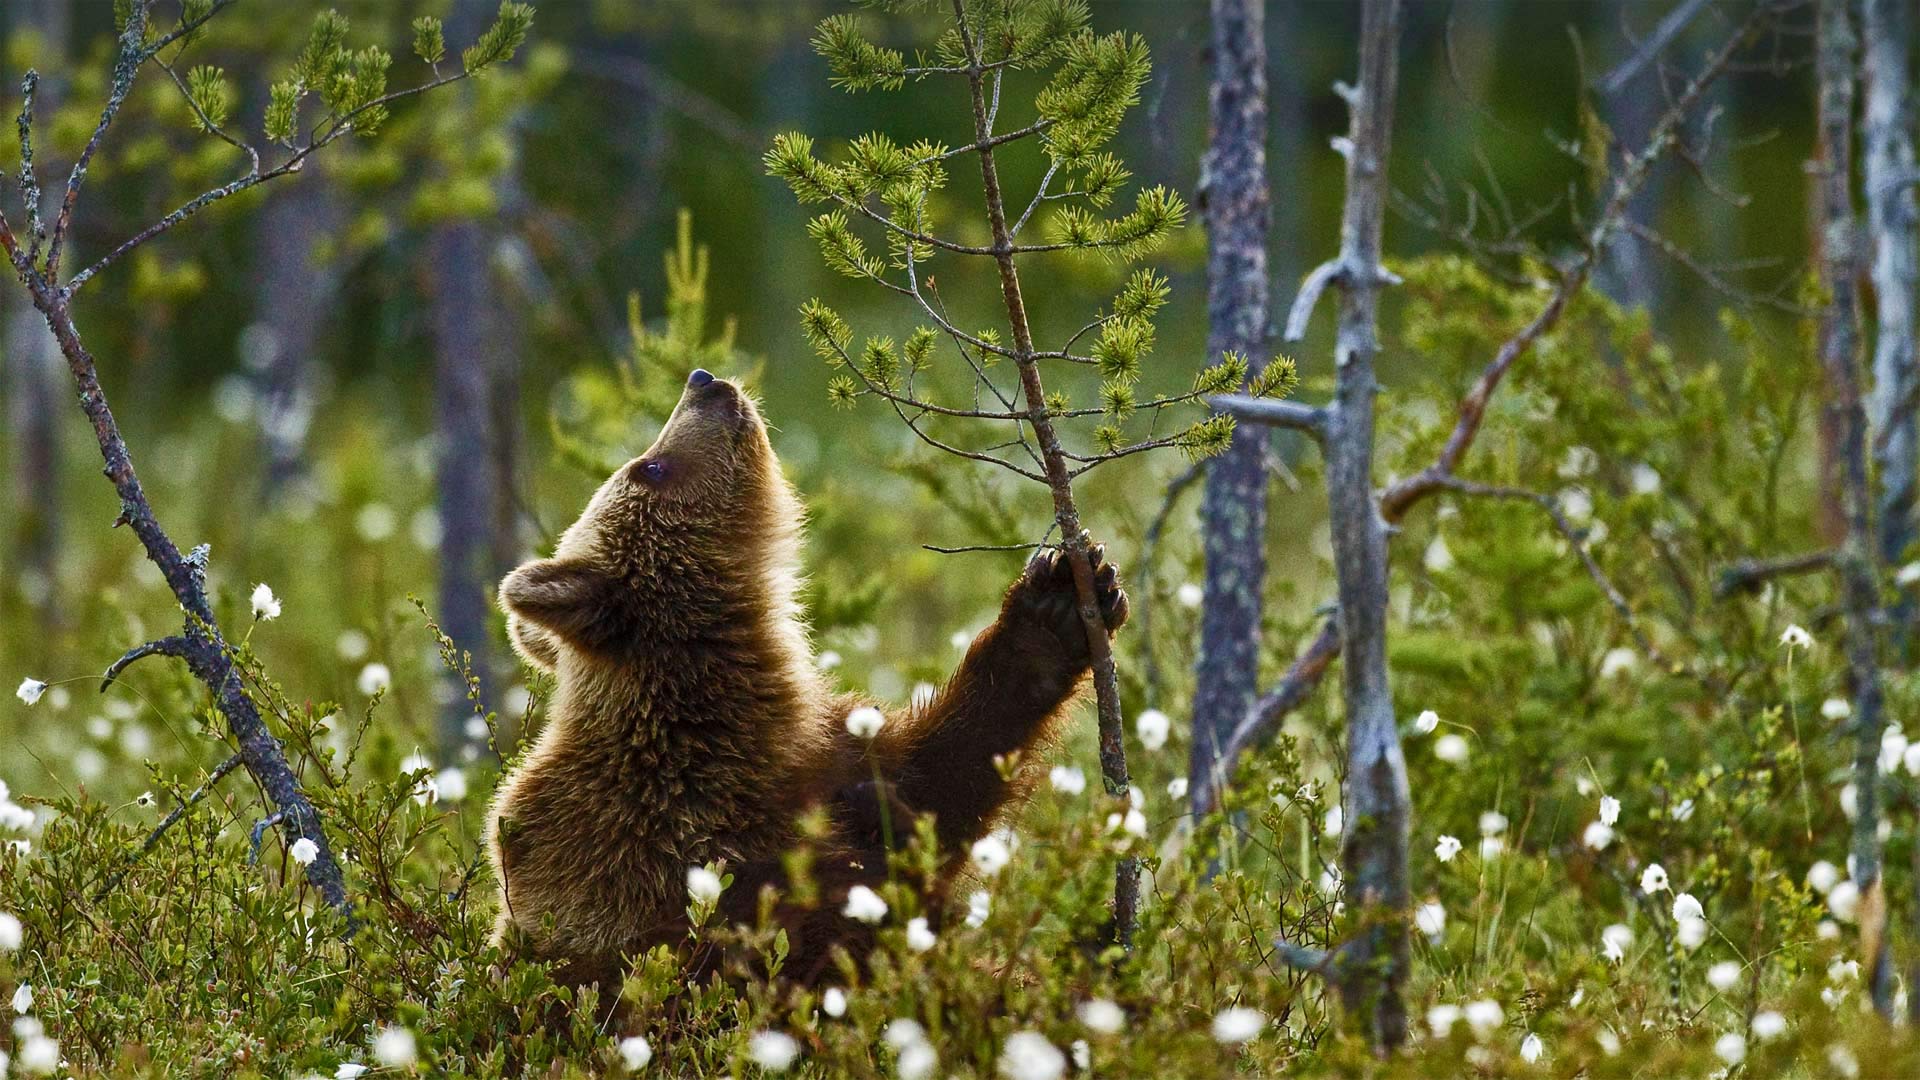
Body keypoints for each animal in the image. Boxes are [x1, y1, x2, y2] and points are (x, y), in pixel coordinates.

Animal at [487, 367, 1128, 983]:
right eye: (649, 467)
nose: (704, 381)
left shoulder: (826, 753)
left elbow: (950, 770)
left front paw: (1058, 602)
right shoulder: (659, 844)